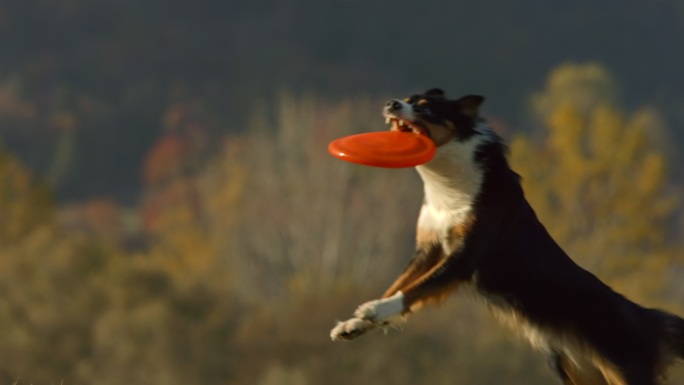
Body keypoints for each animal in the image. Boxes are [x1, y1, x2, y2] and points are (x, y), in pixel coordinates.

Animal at [328, 88, 680, 382]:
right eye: (405, 98)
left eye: (425, 107)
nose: (391, 103)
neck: (447, 182)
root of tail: (649, 318)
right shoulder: (429, 249)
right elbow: (400, 284)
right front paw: (352, 324)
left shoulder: (464, 257)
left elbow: (413, 290)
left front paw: (373, 310)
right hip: (578, 371)